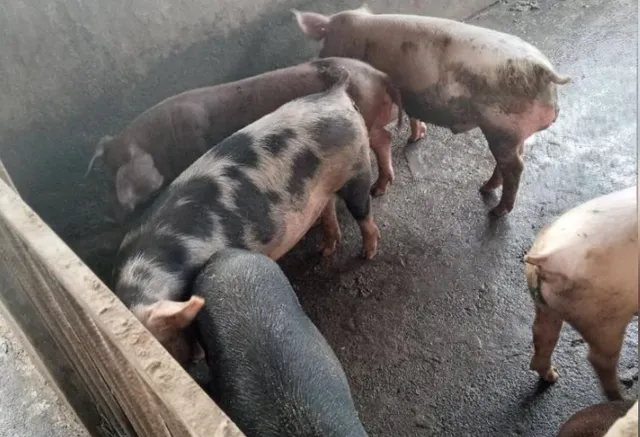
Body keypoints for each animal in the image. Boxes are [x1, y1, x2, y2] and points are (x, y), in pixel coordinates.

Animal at [85, 57, 402, 216]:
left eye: (118, 169)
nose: (121, 208)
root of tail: (379, 74)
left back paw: (376, 189)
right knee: (383, 140)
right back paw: (379, 188)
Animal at [112, 75, 380, 366]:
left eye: (164, 339)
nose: (187, 364)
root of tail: (335, 95)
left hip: (358, 166)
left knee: (364, 213)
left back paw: (368, 253)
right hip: (324, 187)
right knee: (329, 209)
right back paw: (325, 249)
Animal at [293, 5, 571, 216]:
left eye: (324, 41)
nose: (318, 60)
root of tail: (545, 70)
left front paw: (377, 190)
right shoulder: (410, 95)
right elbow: (414, 115)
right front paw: (416, 137)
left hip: (501, 128)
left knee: (516, 167)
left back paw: (495, 210)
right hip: (512, 132)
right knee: (513, 160)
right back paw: (485, 189)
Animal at [523, 186, 638, 400]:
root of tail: (552, 255)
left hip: (547, 305)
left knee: (542, 335)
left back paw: (552, 376)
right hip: (605, 319)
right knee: (599, 360)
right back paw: (623, 398)